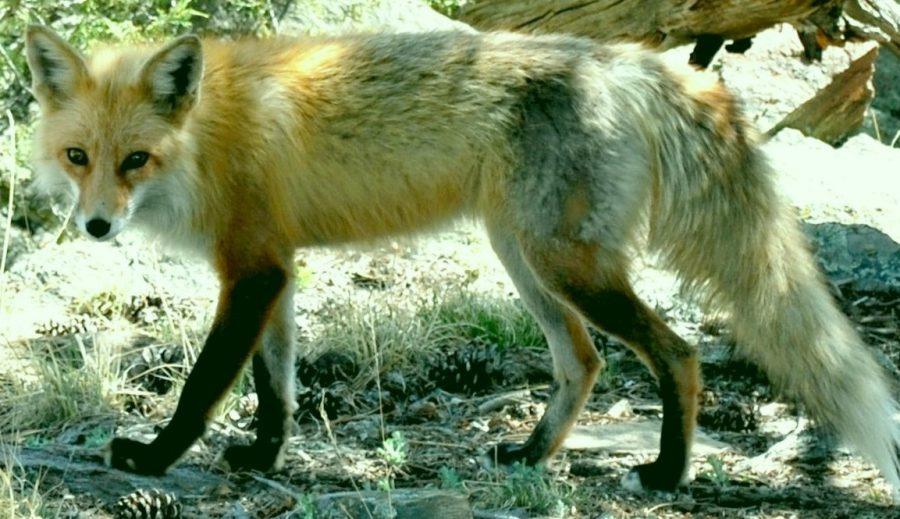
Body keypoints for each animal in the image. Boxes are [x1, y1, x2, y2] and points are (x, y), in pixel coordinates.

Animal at [23, 24, 900, 498]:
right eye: (78, 156)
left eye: (135, 160)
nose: (95, 226)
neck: (209, 135)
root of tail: (625, 60)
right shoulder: (271, 265)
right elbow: (277, 387)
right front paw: (264, 456)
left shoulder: (252, 270)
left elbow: (205, 385)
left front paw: (154, 457)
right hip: (528, 260)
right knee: (583, 360)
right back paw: (532, 455)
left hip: (565, 265)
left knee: (679, 353)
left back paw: (666, 472)